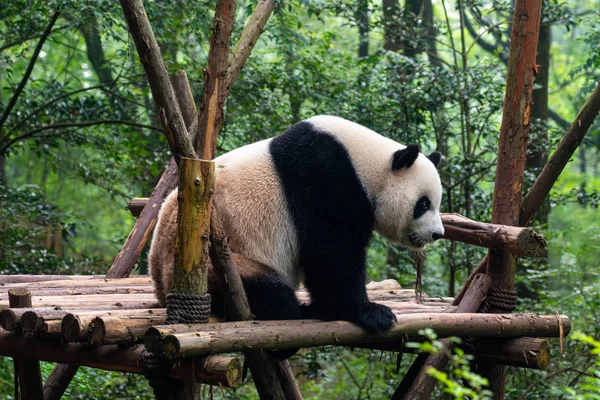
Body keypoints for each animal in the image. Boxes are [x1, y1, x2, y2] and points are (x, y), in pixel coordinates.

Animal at [148, 115, 442, 356]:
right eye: (423, 204)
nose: (437, 234)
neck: (367, 164)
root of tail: (161, 288)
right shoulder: (327, 179)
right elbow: (332, 254)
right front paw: (372, 313)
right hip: (218, 267)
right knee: (269, 290)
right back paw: (304, 312)